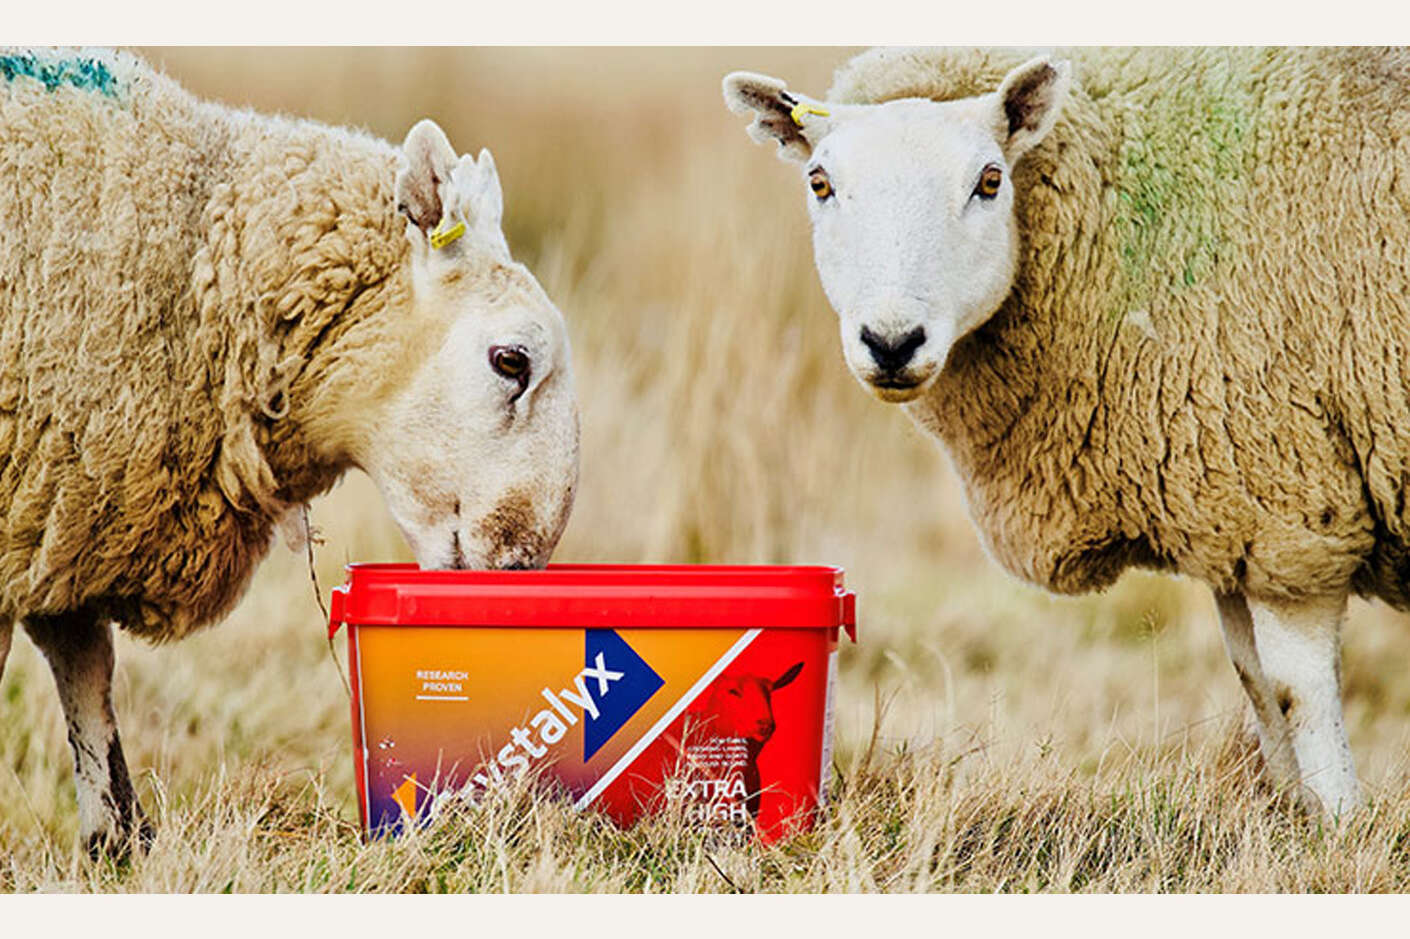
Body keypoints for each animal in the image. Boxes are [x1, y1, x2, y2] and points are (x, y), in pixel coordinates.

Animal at [723, 47, 1410, 817]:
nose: (892, 342)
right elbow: (1257, 686)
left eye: (990, 181)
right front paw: (1294, 820)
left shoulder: (1290, 506)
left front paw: (1340, 824)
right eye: (820, 182)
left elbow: (1297, 693)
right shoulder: (1235, 514)